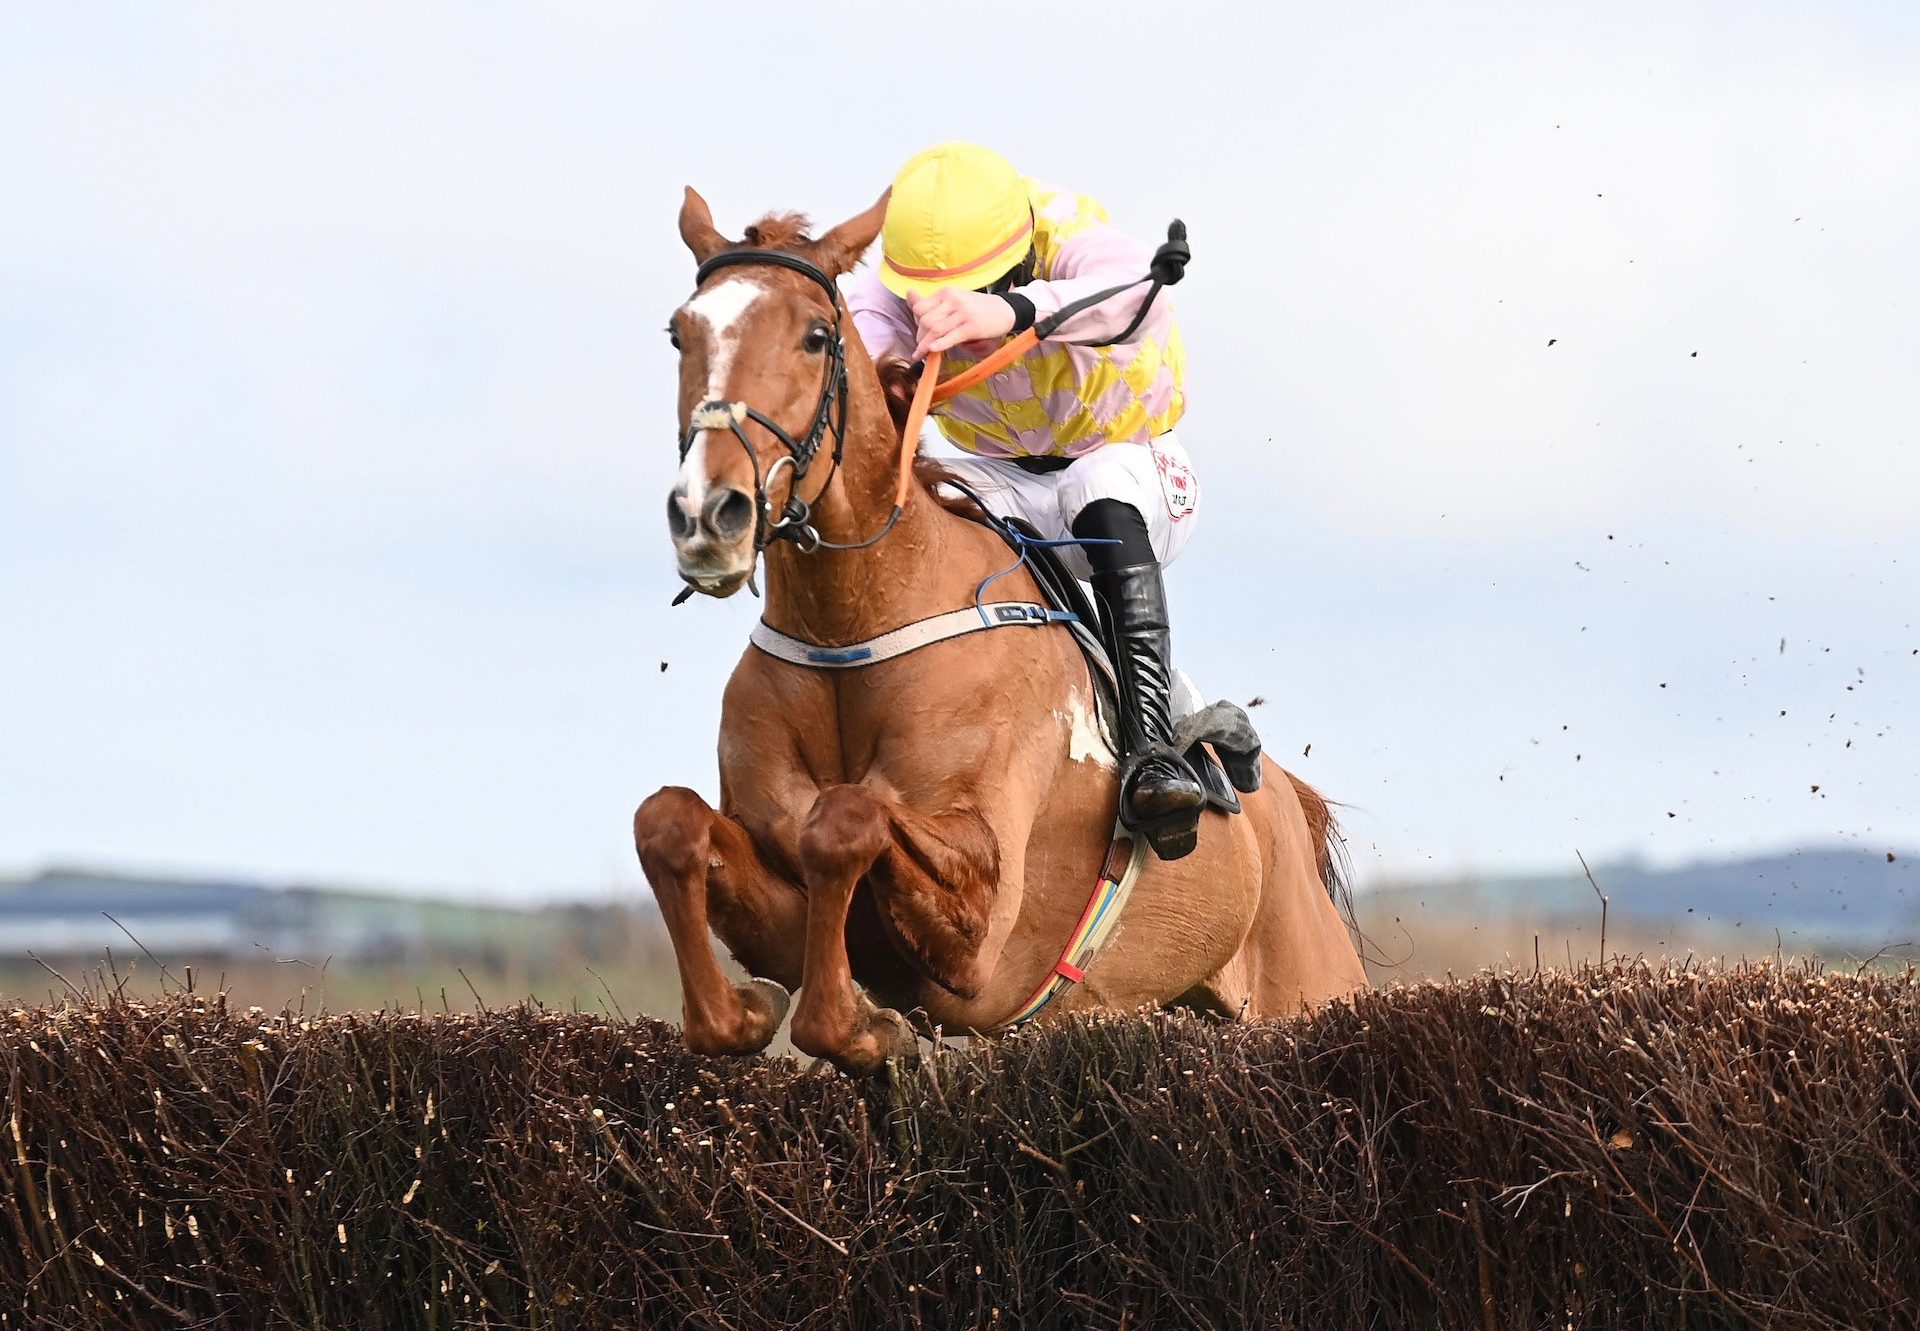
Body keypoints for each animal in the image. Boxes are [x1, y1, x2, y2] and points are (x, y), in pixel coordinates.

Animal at [629, 187, 1367, 1075]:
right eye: (681, 332)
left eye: (814, 335)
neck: (854, 623)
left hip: (1313, 986)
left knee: (1111, 515)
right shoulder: (784, 905)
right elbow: (669, 820)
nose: (709, 514)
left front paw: (863, 1024)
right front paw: (752, 1010)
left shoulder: (983, 928)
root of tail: (1285, 798)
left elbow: (845, 818)